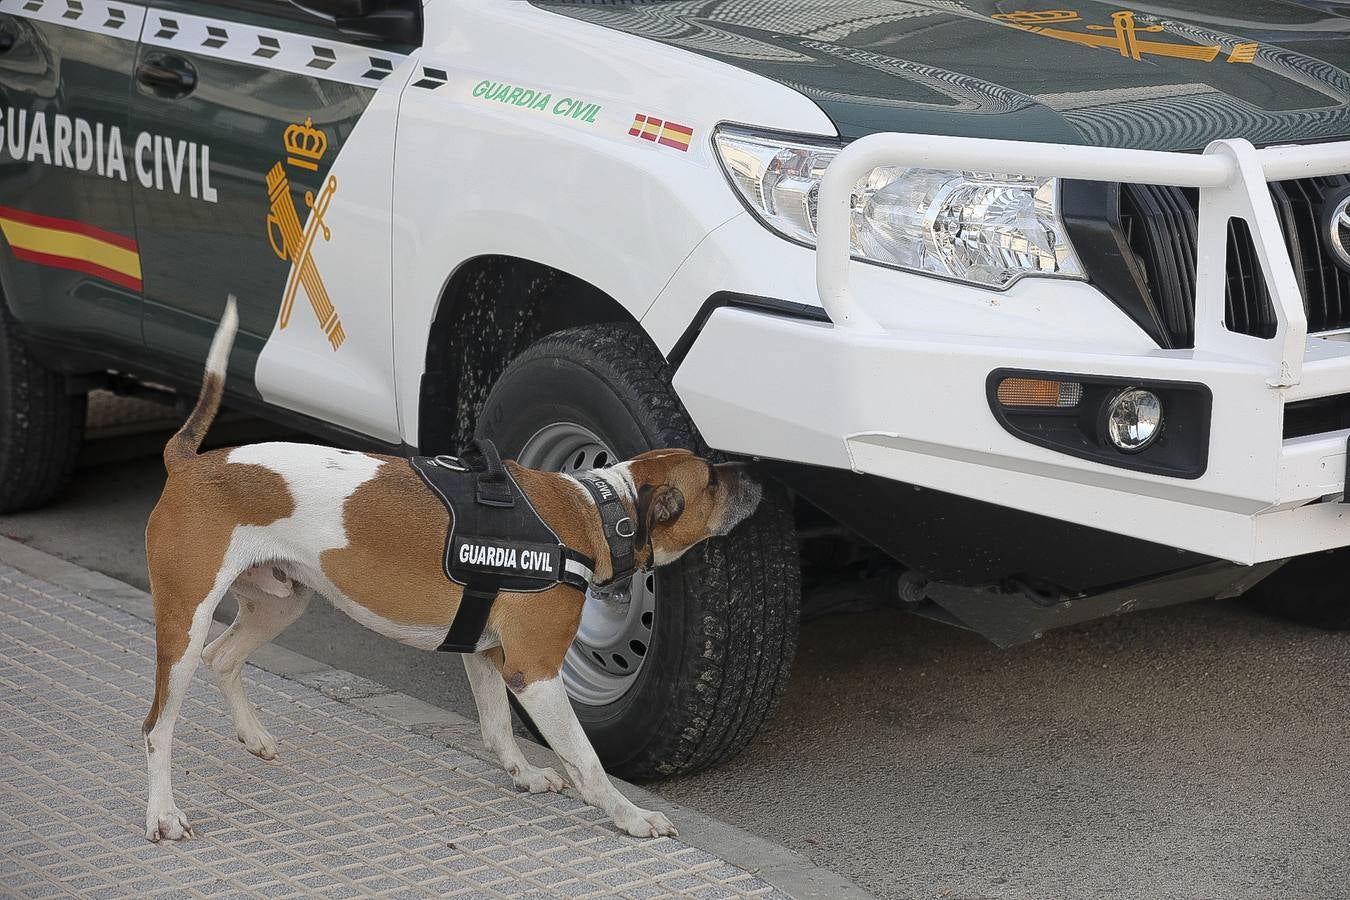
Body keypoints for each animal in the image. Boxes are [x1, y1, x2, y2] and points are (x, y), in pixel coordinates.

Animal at [145, 302, 772, 847]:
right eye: (711, 480)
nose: (756, 475)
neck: (596, 511)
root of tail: (190, 463)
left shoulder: (484, 649)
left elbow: (496, 728)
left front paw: (524, 775)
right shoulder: (535, 672)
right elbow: (586, 759)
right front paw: (630, 816)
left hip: (280, 601)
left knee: (223, 657)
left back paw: (253, 737)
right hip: (184, 625)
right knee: (157, 727)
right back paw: (164, 815)